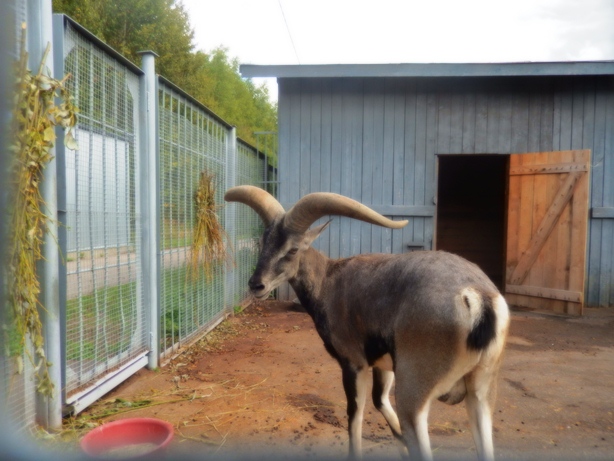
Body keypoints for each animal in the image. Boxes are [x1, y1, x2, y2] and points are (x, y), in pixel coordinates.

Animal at [225, 186, 509, 461]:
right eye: (264, 242)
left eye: (293, 249)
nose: (257, 285)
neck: (328, 281)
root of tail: (476, 297)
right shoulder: (383, 365)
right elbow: (379, 401)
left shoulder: (354, 362)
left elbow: (355, 414)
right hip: (482, 390)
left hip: (414, 392)